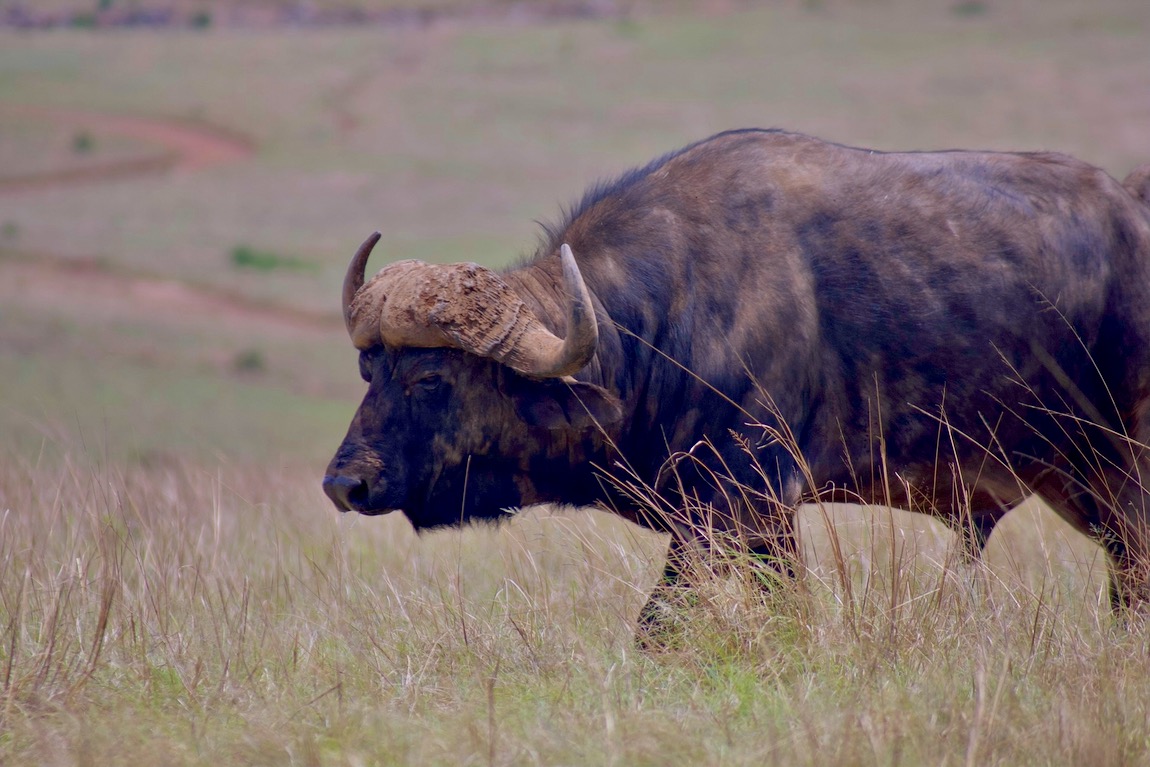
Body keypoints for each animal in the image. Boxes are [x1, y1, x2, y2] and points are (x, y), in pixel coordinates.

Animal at [324, 129, 1150, 634]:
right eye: (370, 367)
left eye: (430, 376)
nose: (345, 483)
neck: (664, 323)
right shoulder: (743, 521)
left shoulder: (740, 505)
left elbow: (662, 627)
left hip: (1120, 469)